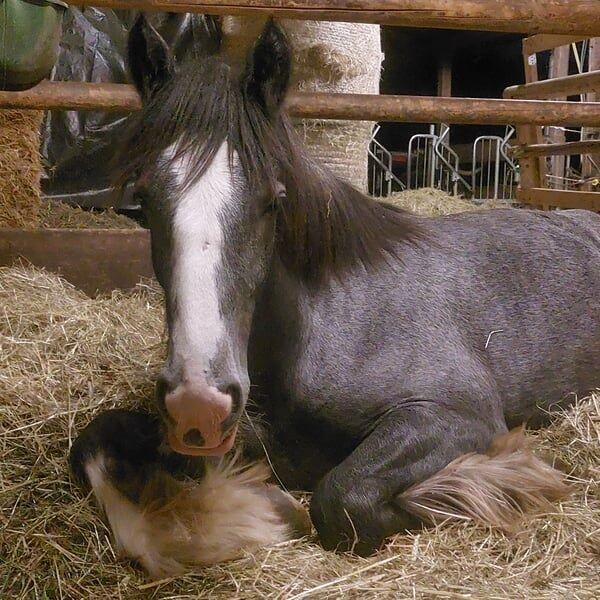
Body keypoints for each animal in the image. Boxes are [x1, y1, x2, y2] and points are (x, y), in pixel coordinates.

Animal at [120, 15, 600, 556]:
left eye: (273, 200)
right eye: (143, 200)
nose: (198, 403)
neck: (337, 316)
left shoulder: (457, 414)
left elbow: (340, 498)